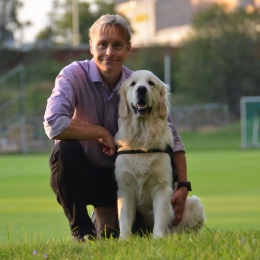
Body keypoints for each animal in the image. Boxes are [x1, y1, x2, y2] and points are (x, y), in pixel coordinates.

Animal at [115, 69, 204, 240]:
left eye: (151, 83)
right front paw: (123, 240)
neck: (142, 138)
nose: (141, 89)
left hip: (195, 204)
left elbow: (161, 217)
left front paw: (158, 240)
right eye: (133, 84)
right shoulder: (125, 188)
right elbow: (124, 217)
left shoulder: (161, 187)